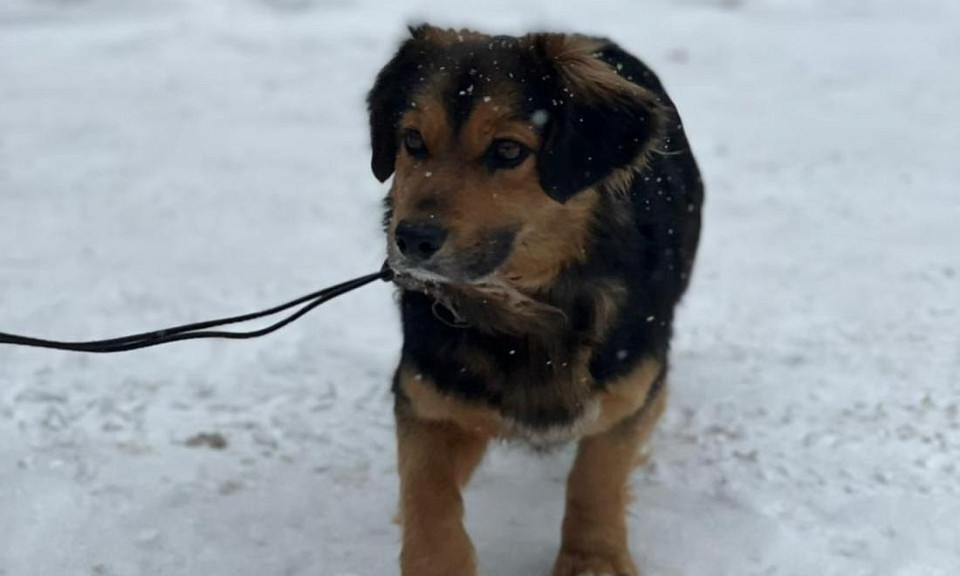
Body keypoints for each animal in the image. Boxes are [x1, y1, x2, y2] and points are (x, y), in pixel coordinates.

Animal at [368, 24, 704, 572]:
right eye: (412, 140)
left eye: (508, 151)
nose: (412, 239)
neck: (525, 307)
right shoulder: (429, 396)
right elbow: (427, 491)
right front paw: (438, 561)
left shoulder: (634, 387)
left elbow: (598, 472)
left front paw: (592, 557)